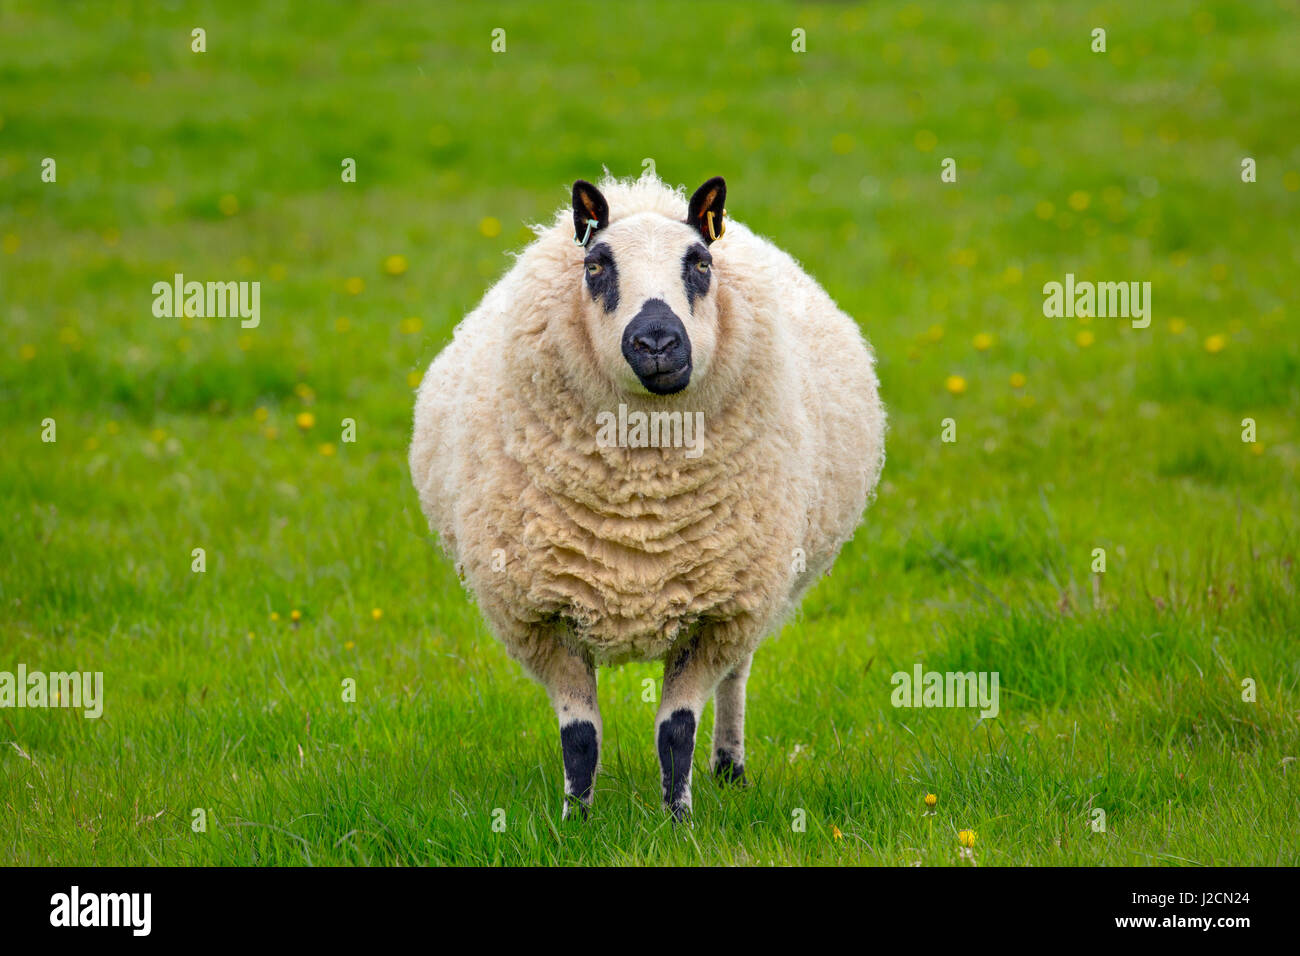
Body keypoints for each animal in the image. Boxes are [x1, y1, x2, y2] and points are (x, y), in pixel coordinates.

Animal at [409, 173, 885, 820]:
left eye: (701, 263)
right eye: (595, 266)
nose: (657, 340)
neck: (640, 504)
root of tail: (644, 190)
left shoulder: (717, 613)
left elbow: (676, 729)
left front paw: (678, 819)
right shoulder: (542, 615)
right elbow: (581, 735)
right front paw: (576, 820)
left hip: (754, 589)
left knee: (736, 678)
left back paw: (729, 768)